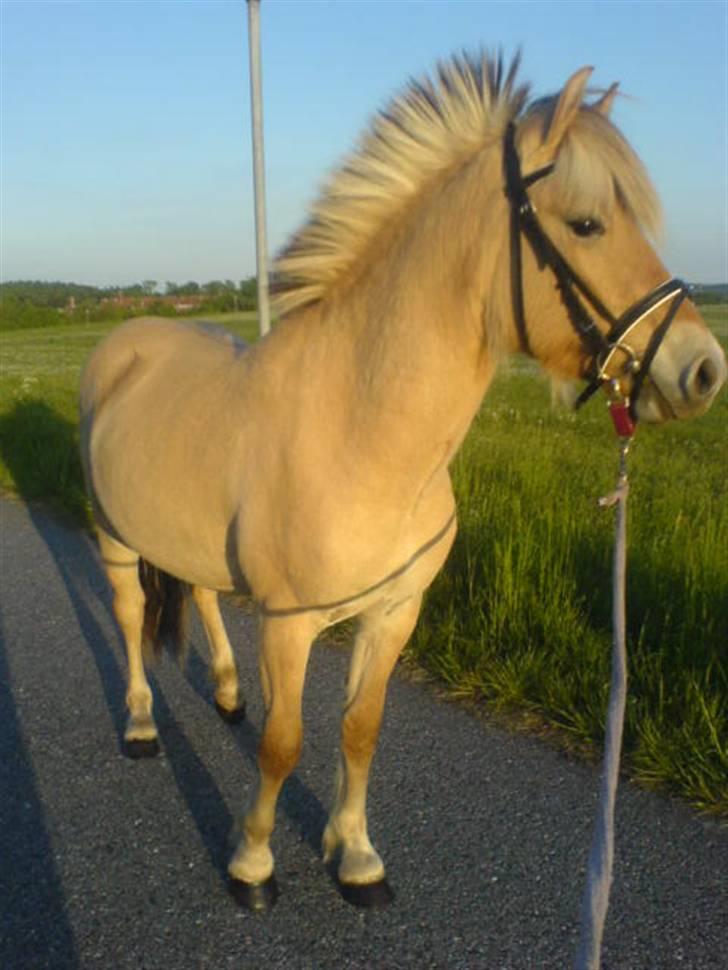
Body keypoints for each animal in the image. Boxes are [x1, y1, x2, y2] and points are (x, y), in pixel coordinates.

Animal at [77, 53, 724, 912]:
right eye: (587, 223)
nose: (703, 371)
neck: (361, 434)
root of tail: (129, 342)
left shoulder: (393, 613)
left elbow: (361, 731)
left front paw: (355, 857)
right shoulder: (290, 624)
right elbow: (284, 744)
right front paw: (253, 862)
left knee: (206, 596)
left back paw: (225, 692)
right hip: (114, 535)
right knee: (126, 617)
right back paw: (144, 725)